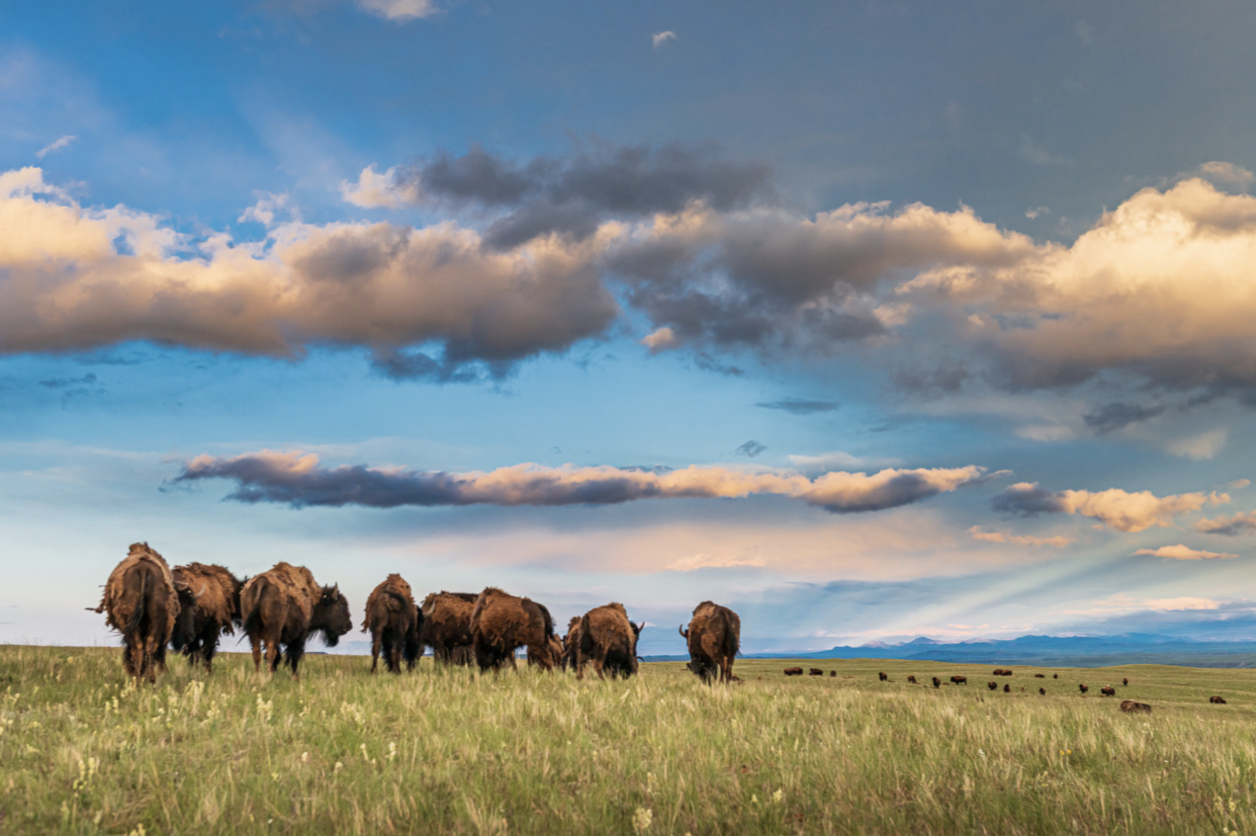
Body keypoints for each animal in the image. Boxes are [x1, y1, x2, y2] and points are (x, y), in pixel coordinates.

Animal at [91, 543, 179, 683]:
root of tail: (143, 569)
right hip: (156, 619)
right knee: (149, 646)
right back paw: (150, 680)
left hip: (131, 624)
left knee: (137, 648)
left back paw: (137, 680)